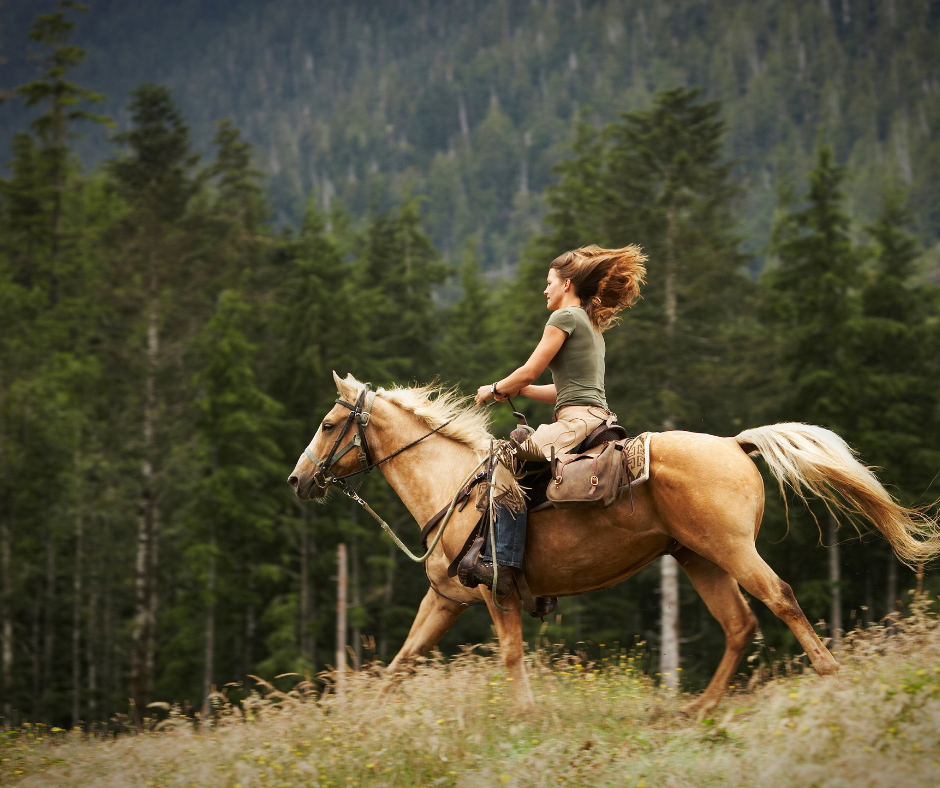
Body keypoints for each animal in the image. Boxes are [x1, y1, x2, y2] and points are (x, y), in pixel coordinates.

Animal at [288, 372, 940, 716]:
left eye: (327, 424)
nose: (298, 480)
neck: (455, 488)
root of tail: (735, 444)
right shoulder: (445, 599)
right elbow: (403, 660)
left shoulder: (497, 594)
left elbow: (511, 655)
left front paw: (526, 717)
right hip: (699, 558)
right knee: (739, 625)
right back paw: (698, 709)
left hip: (732, 551)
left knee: (778, 598)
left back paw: (830, 676)